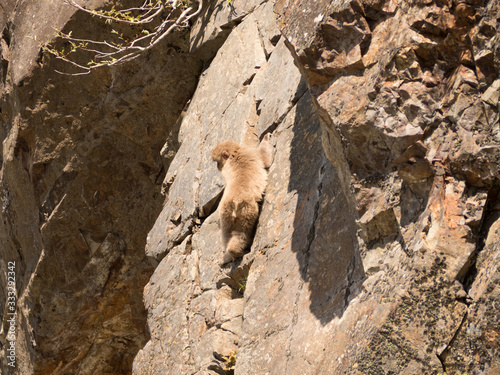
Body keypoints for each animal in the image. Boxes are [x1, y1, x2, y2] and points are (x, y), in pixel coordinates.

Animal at [211, 134, 274, 266]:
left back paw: (228, 256)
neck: (235, 153)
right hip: (246, 209)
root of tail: (233, 203)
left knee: (227, 234)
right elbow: (265, 160)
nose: (218, 166)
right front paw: (267, 138)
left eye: (217, 161)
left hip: (225, 216)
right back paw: (237, 251)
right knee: (242, 232)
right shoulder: (251, 152)